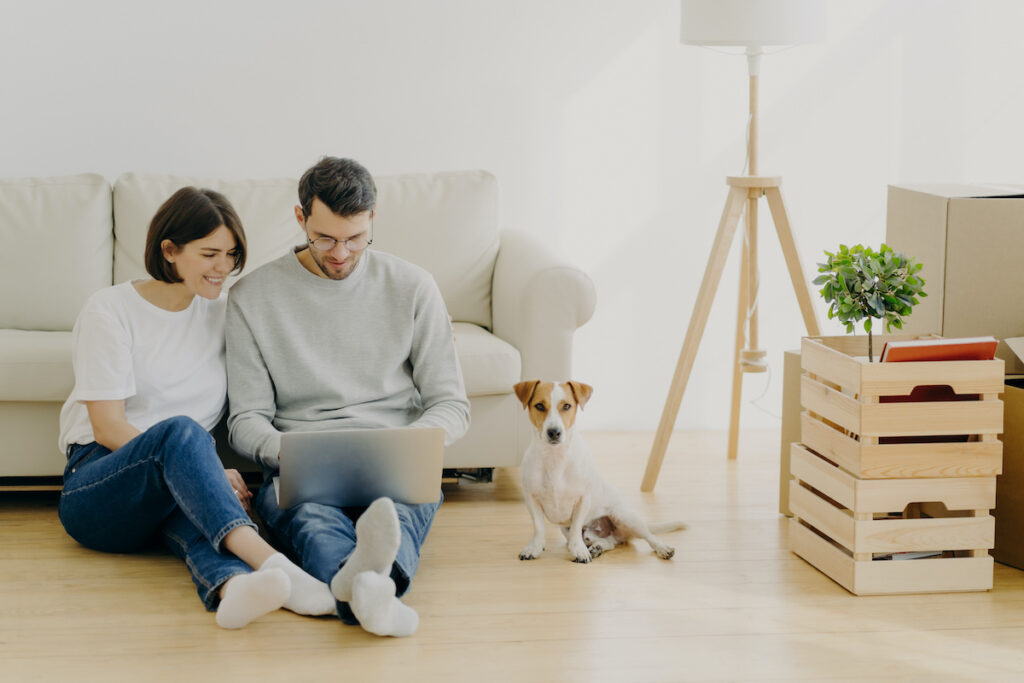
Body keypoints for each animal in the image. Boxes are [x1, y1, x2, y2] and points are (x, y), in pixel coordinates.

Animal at [512, 382, 688, 565]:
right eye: (539, 406)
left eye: (566, 406)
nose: (554, 432)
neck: (555, 458)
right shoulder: (532, 499)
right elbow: (539, 527)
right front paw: (534, 548)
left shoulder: (582, 499)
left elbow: (576, 529)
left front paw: (578, 550)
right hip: (571, 530)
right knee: (609, 542)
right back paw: (597, 547)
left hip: (626, 518)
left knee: (649, 535)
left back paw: (662, 548)